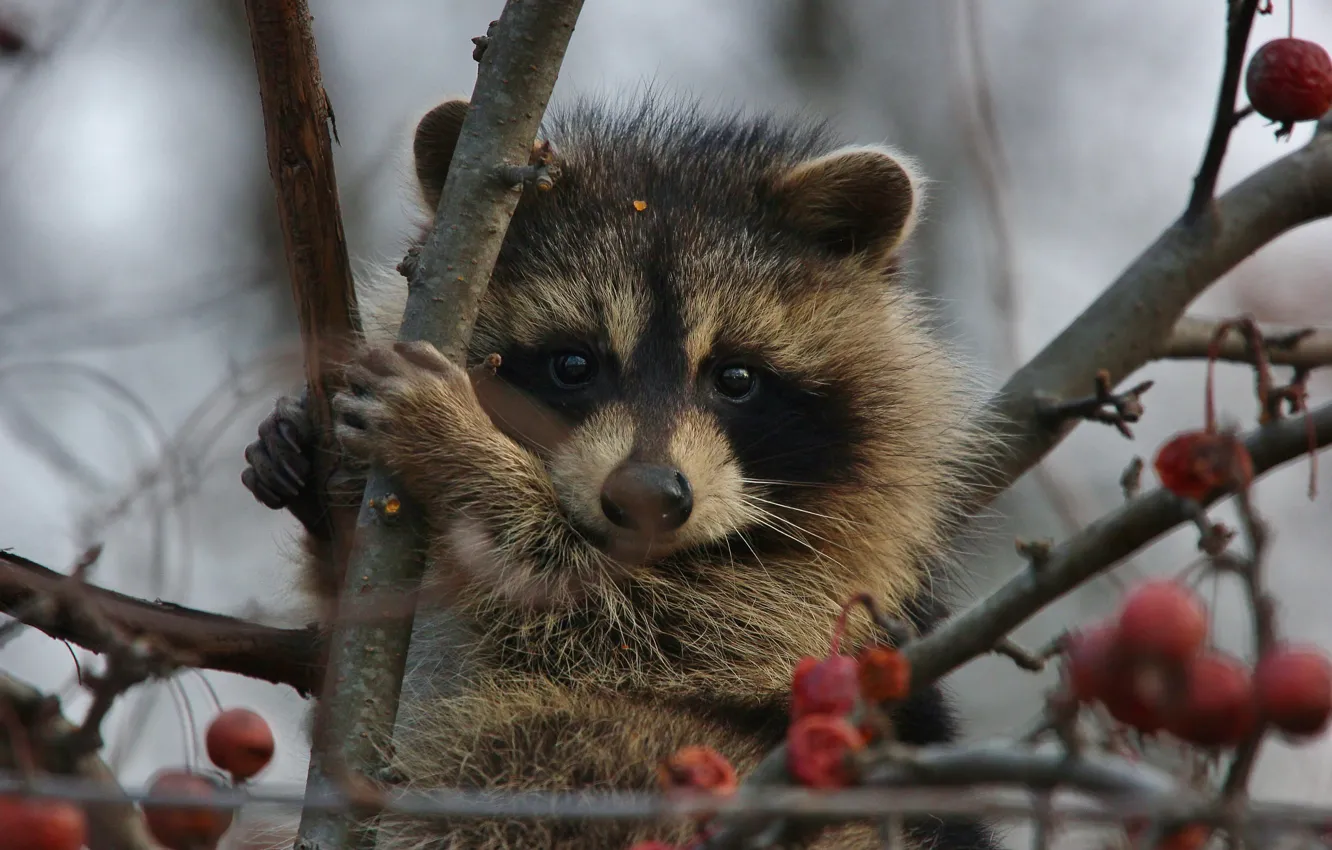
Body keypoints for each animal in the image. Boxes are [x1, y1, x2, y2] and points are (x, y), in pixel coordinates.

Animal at [245, 94, 1001, 850]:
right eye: (573, 364)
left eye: (736, 378)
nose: (648, 496)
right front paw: (309, 475)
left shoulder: (810, 597)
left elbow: (620, 614)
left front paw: (464, 451)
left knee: (533, 743)